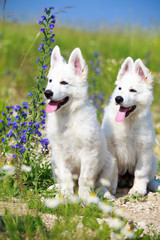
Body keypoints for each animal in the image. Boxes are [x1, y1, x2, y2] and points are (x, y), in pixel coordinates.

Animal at [44, 45, 115, 201]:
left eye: (64, 82)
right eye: (50, 80)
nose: (47, 93)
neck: (67, 118)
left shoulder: (89, 153)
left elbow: (84, 178)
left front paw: (84, 196)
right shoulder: (59, 153)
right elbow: (66, 177)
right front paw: (65, 195)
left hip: (109, 164)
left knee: (102, 185)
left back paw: (103, 193)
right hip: (54, 163)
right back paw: (56, 188)